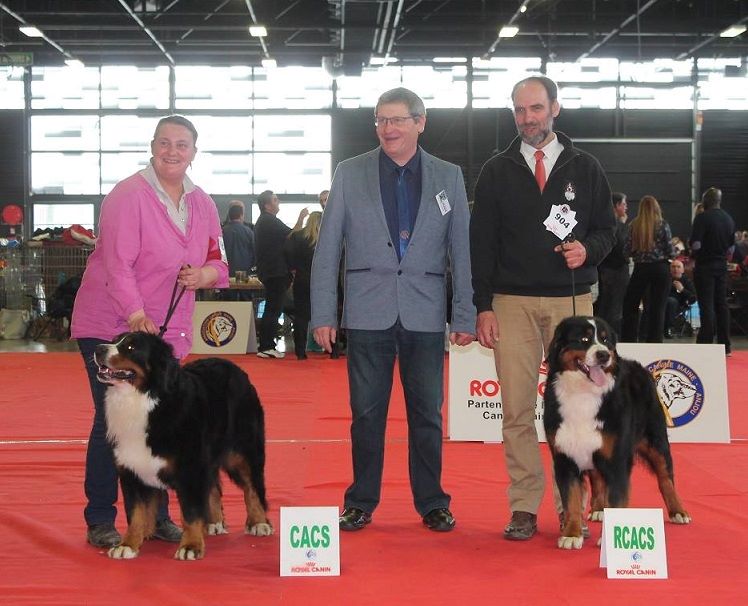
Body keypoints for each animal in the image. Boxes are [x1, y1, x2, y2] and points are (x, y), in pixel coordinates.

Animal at [93, 332, 274, 560]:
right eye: (114, 340)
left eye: (131, 347)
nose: (99, 349)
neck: (146, 400)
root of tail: (235, 367)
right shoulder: (131, 470)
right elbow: (135, 513)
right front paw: (128, 544)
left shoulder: (190, 468)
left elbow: (190, 512)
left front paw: (190, 546)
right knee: (214, 486)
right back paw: (214, 522)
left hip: (242, 452)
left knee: (252, 487)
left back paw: (259, 523)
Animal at [540, 318, 692, 552]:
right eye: (584, 339)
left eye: (606, 340)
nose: (604, 355)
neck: (583, 394)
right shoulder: (565, 457)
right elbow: (571, 500)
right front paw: (572, 534)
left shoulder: (617, 458)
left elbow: (617, 500)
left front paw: (609, 541)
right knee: (597, 478)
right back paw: (598, 510)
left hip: (656, 440)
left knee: (666, 477)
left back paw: (678, 511)